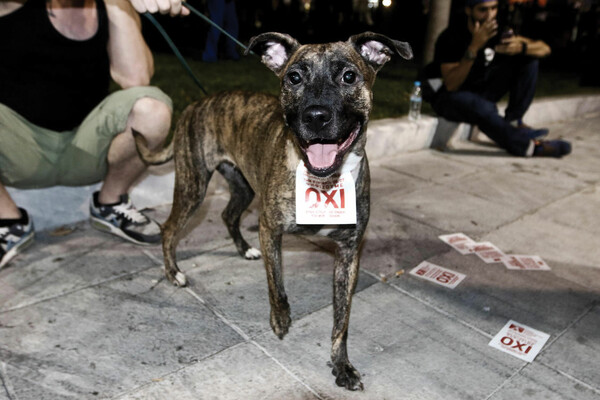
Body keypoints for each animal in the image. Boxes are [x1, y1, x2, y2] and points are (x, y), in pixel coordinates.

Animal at [138, 32, 410, 390]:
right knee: (169, 228)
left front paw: (342, 365)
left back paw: (243, 249)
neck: (323, 180)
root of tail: (196, 103)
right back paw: (174, 273)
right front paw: (280, 319)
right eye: (293, 77)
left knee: (227, 215)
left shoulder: (349, 252)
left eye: (349, 76)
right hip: (192, 186)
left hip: (243, 186)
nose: (315, 116)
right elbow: (276, 282)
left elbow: (342, 319)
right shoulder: (270, 230)